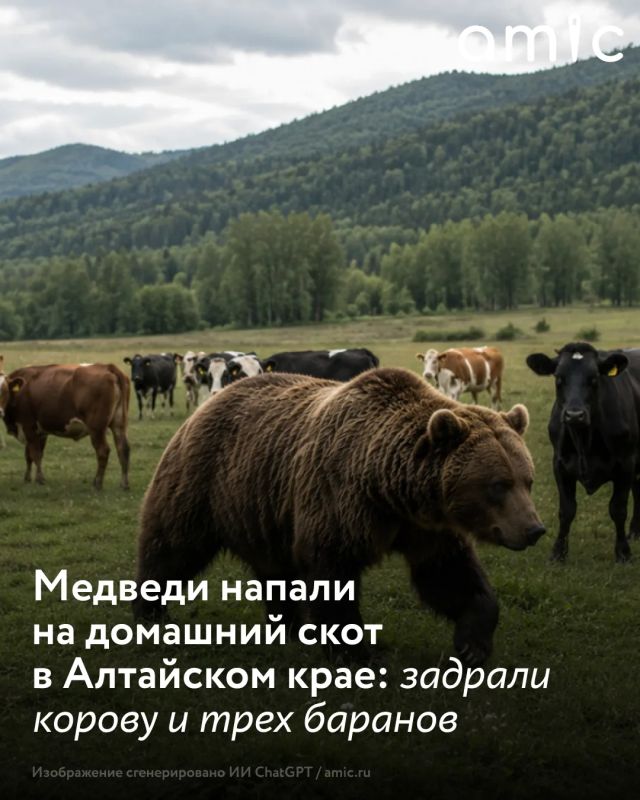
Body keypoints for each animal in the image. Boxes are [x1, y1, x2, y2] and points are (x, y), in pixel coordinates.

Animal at [134, 367, 545, 666]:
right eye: (497, 484)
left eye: (527, 479)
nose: (534, 529)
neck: (391, 491)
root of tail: (209, 402)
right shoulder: (338, 500)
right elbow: (332, 571)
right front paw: (358, 652)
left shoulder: (426, 527)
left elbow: (449, 575)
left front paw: (472, 644)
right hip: (202, 483)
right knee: (172, 547)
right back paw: (151, 615)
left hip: (263, 508)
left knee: (275, 572)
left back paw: (288, 627)